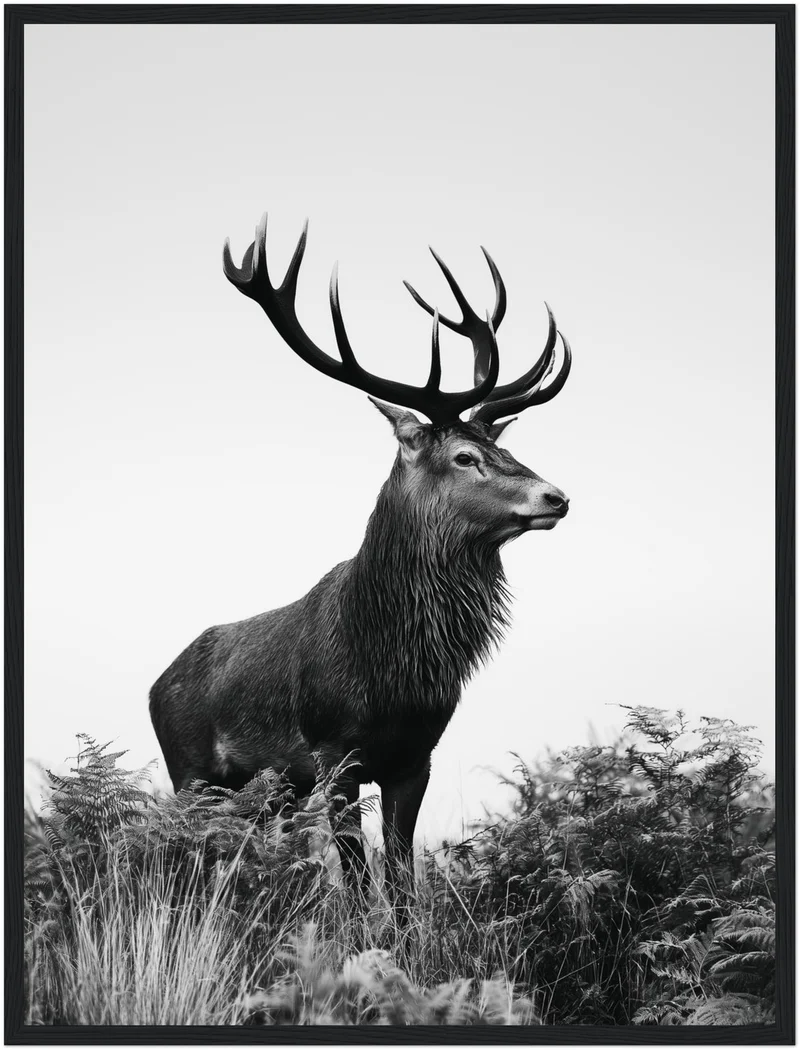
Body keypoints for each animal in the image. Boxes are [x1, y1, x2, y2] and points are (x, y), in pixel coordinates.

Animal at [149, 213, 572, 909]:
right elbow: (352, 876)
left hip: (266, 793)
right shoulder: (334, 753)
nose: (557, 496)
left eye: (502, 447)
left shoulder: (415, 757)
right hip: (189, 770)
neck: (389, 667)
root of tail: (156, 683)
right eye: (464, 456)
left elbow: (399, 878)